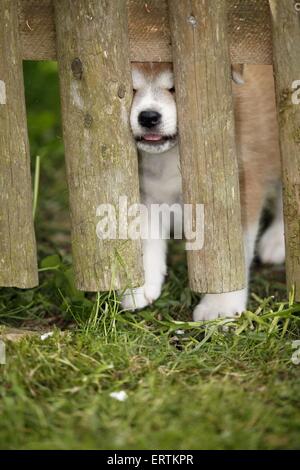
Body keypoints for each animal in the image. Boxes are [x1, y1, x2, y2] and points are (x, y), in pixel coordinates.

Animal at [122, 63, 286, 320]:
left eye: (176, 87)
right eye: (132, 88)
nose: (148, 117)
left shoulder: (236, 192)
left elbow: (231, 255)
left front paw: (220, 305)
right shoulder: (149, 193)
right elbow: (148, 240)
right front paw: (142, 286)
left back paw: (278, 239)